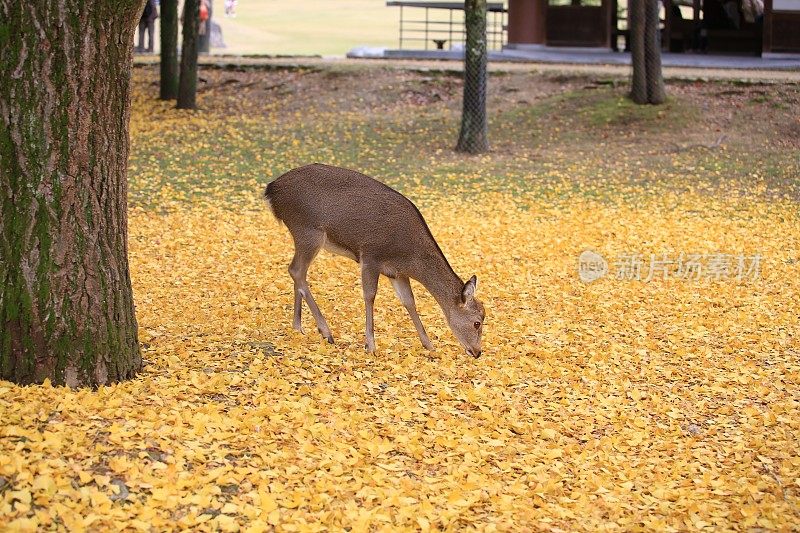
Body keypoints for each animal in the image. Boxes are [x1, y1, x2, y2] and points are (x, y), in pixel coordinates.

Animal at [266, 162, 484, 358]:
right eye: (477, 322)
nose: (477, 352)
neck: (410, 256)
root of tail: (271, 190)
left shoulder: (397, 272)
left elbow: (409, 301)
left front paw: (429, 345)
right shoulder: (371, 256)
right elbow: (370, 295)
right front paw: (370, 345)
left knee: (297, 272)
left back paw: (298, 327)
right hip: (308, 230)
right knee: (296, 271)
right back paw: (325, 332)